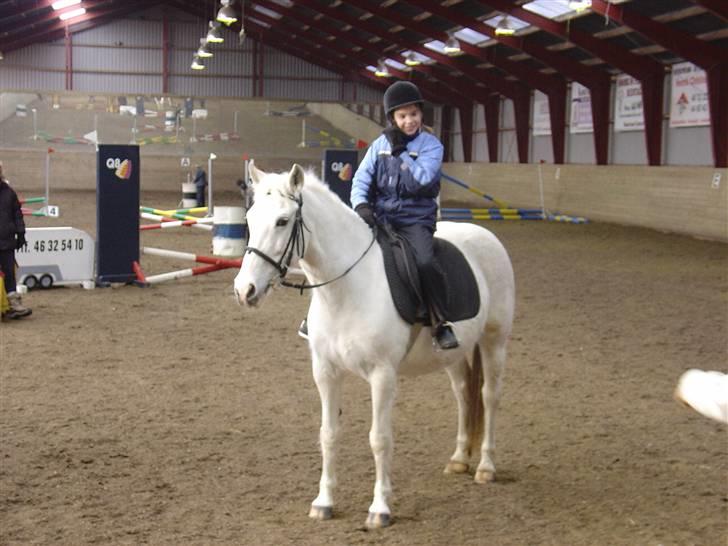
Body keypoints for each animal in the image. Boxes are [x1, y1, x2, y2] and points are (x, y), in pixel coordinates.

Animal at [236, 162, 516, 528]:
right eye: (250, 219)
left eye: (283, 221)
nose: (245, 290)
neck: (346, 288)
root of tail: (487, 237)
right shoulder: (325, 372)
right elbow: (328, 434)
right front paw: (323, 502)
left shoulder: (382, 375)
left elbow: (379, 440)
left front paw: (380, 509)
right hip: (454, 354)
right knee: (464, 396)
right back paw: (458, 459)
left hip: (495, 341)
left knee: (489, 397)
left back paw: (485, 466)